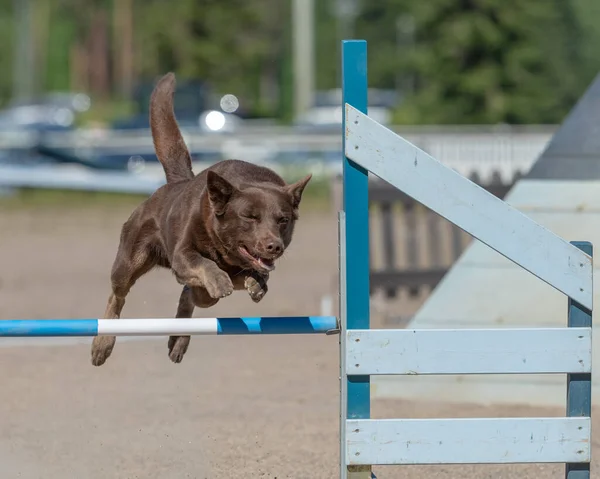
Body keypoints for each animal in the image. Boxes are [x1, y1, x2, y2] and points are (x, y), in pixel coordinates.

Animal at [92, 73, 314, 368]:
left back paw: (179, 340)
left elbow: (251, 276)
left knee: (190, 294)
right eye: (249, 216)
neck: (224, 250)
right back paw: (102, 345)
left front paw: (256, 282)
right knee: (117, 297)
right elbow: (204, 263)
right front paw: (220, 279)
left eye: (283, 220)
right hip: (129, 261)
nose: (274, 246)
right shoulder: (183, 255)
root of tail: (177, 183)